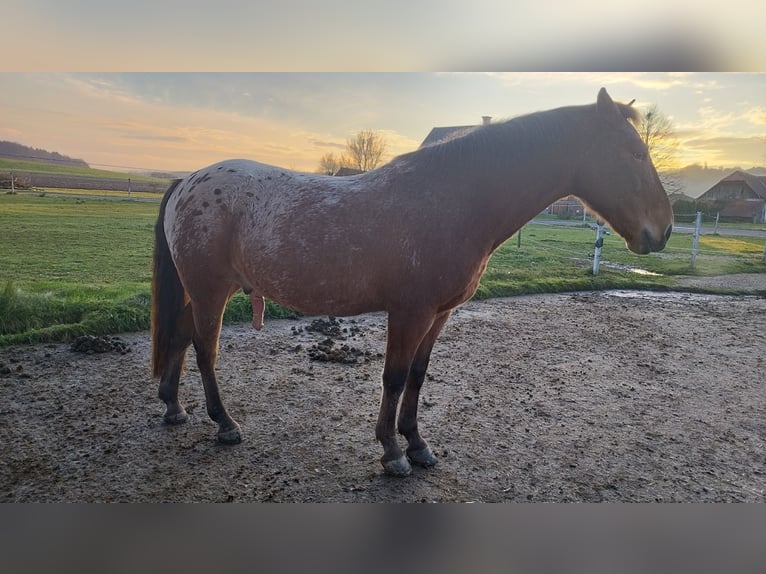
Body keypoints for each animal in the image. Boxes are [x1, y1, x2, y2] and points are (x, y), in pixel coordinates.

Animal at [151, 88, 673, 477]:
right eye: (634, 153)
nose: (664, 230)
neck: (451, 200)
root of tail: (189, 181)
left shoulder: (438, 314)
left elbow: (418, 376)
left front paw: (417, 444)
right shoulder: (410, 313)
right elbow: (395, 377)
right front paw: (392, 452)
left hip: (199, 292)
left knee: (179, 338)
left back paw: (174, 408)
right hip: (211, 292)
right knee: (205, 349)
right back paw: (224, 424)